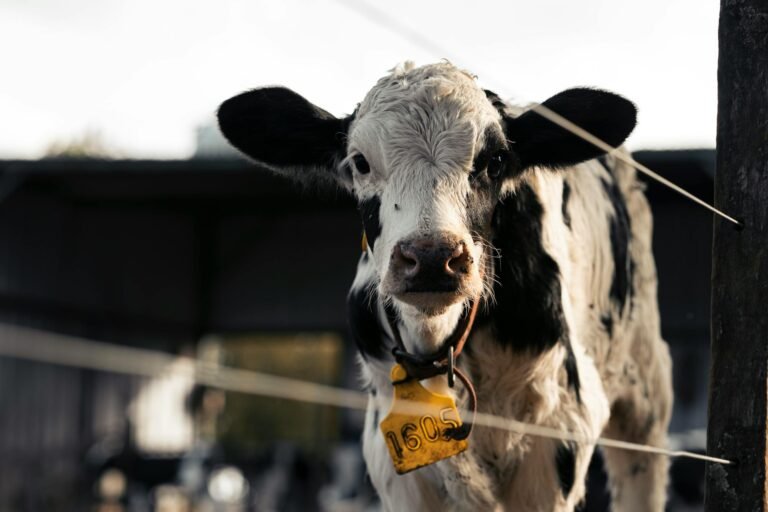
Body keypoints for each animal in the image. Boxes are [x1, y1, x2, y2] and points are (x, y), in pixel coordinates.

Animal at [217, 61, 673, 512]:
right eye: (360, 162)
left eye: (495, 160)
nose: (433, 257)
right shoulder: (393, 461)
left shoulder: (558, 434)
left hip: (644, 397)